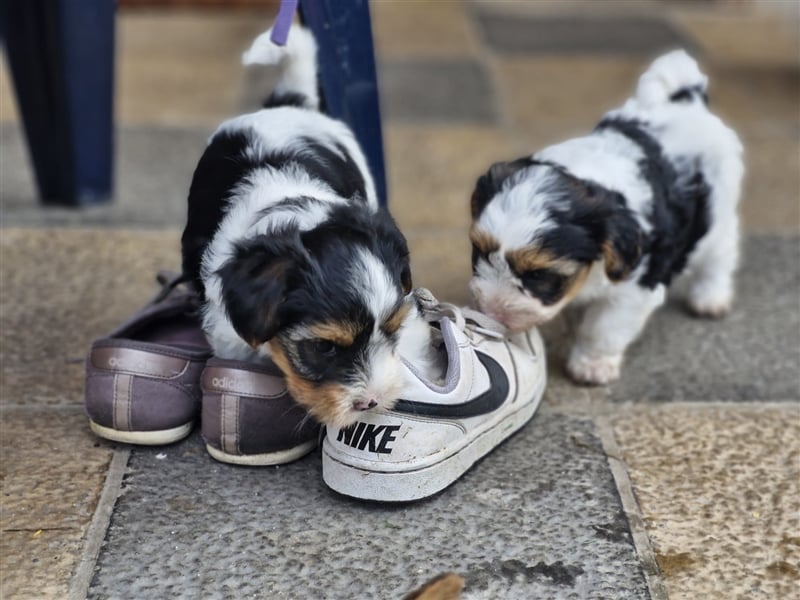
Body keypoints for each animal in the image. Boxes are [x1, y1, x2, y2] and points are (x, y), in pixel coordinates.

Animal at [180, 25, 434, 424]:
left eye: (392, 329)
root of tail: (289, 103)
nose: (372, 401)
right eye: (324, 347)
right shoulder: (228, 331)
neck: (299, 213)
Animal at [468, 49, 744, 382]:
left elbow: (603, 327)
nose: (492, 313)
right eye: (478, 251)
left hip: (718, 211)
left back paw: (710, 297)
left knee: (720, 254)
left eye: (538, 275)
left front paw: (591, 364)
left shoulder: (635, 284)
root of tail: (687, 101)